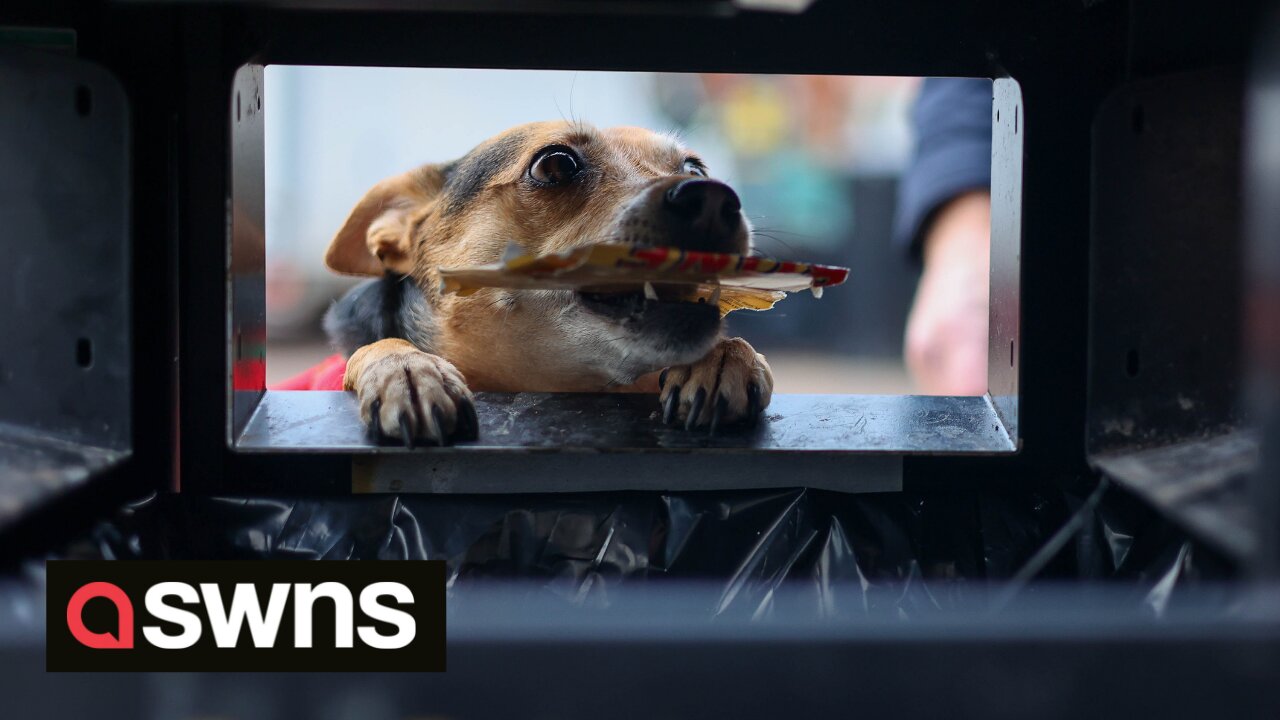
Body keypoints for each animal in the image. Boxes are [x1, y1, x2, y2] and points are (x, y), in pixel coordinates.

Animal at [325, 119, 773, 443]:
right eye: (556, 164)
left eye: (695, 167)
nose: (714, 199)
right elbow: (374, 347)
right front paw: (408, 369)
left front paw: (723, 357)